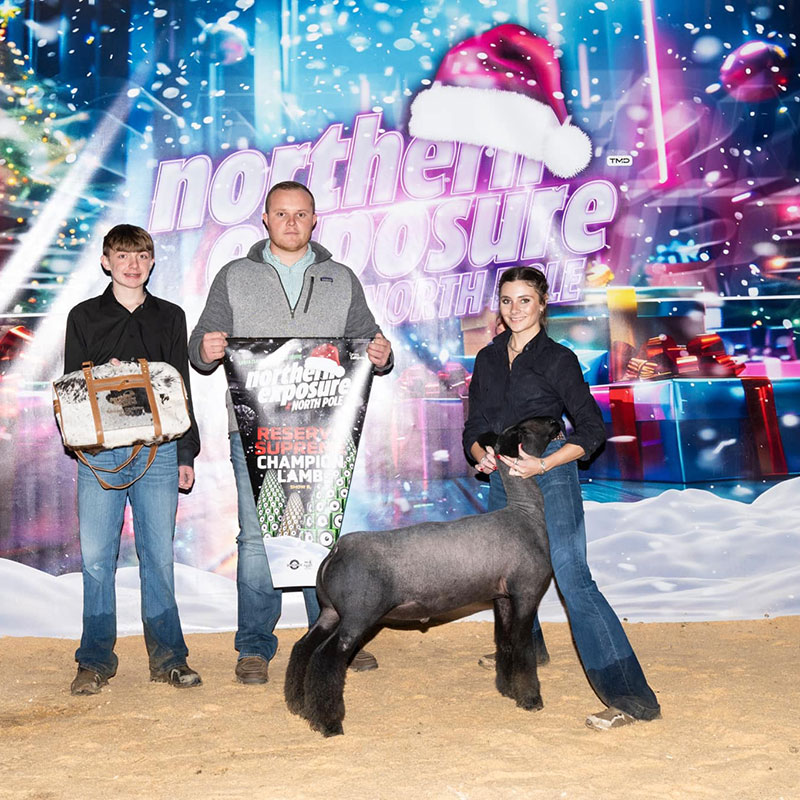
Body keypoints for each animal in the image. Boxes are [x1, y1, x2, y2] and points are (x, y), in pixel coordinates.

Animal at [284, 416, 559, 737]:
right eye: (528, 427)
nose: (556, 421)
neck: (524, 514)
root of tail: (336, 549)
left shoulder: (502, 596)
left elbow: (504, 642)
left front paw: (506, 690)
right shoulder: (526, 593)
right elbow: (523, 647)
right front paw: (530, 700)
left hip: (330, 611)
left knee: (303, 647)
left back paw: (297, 706)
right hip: (358, 615)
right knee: (325, 657)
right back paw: (328, 723)